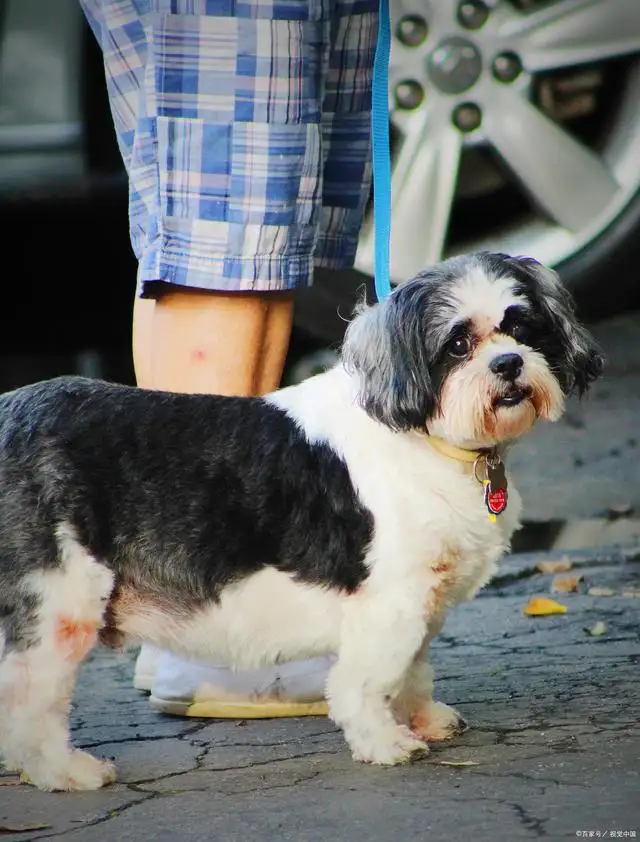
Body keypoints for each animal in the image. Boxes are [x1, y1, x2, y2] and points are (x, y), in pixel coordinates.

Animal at [0, 251, 604, 788]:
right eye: (458, 344)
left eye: (522, 327)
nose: (508, 363)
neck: (426, 437)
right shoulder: (391, 603)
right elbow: (370, 681)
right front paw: (383, 741)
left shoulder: (422, 603)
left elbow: (413, 669)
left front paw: (423, 718)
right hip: (57, 605)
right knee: (31, 703)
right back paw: (63, 772)